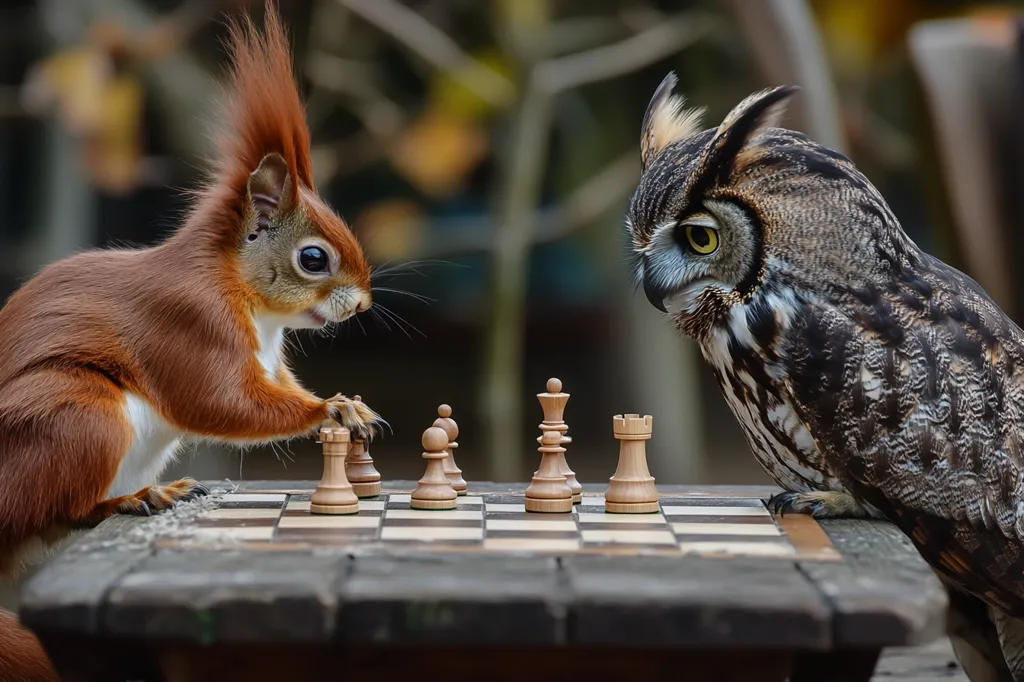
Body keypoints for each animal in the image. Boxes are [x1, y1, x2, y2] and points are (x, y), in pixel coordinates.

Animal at [0, 4, 382, 679]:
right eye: (314, 258)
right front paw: (333, 410)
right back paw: (130, 501)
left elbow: (270, 387)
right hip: (73, 416)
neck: (252, 304)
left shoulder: (269, 357)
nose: (363, 302)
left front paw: (348, 402)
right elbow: (222, 402)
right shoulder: (188, 323)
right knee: (59, 510)